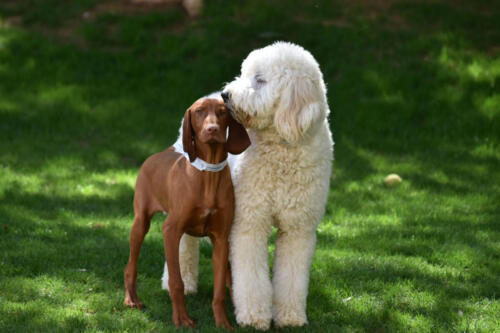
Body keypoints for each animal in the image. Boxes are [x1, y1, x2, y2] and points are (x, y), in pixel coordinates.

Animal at [124, 96, 250, 326]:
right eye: (199, 111)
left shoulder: (221, 238)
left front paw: (223, 323)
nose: (212, 129)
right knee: (131, 265)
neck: (209, 174)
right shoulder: (170, 231)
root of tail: (159, 154)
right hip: (140, 222)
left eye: (222, 112)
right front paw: (181, 318)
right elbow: (177, 281)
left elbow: (219, 288)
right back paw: (132, 299)